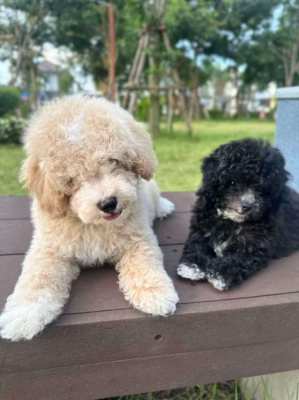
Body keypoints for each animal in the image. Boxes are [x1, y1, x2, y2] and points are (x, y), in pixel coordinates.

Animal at [177, 140, 299, 290]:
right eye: (232, 182)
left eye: (261, 188)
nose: (247, 205)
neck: (231, 221)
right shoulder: (201, 229)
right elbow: (196, 244)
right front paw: (191, 266)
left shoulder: (254, 246)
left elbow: (237, 260)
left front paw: (219, 274)